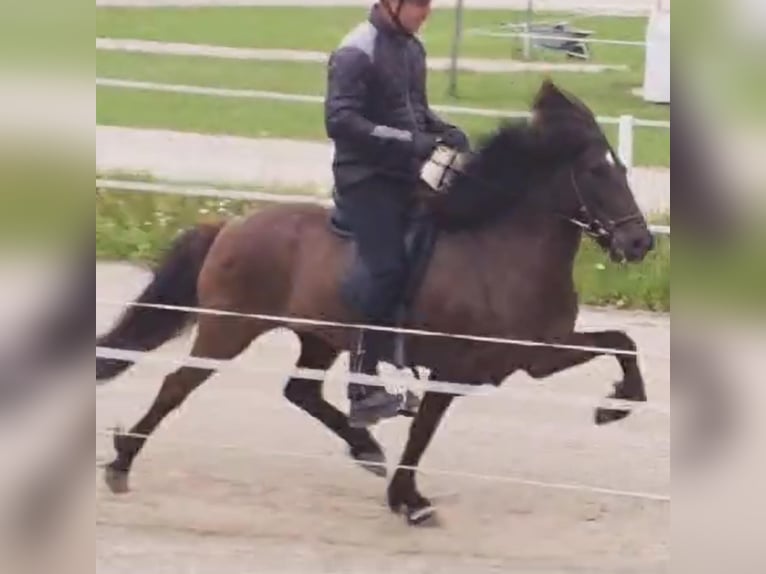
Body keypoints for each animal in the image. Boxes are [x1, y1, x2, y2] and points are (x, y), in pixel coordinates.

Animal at [99, 81, 656, 528]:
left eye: (624, 168)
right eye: (595, 171)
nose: (639, 243)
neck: (499, 251)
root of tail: (230, 226)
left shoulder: (535, 354)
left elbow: (622, 341)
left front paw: (617, 404)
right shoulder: (457, 368)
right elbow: (424, 432)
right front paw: (410, 500)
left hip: (318, 336)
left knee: (300, 390)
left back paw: (363, 444)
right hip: (228, 329)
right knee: (176, 386)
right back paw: (121, 463)